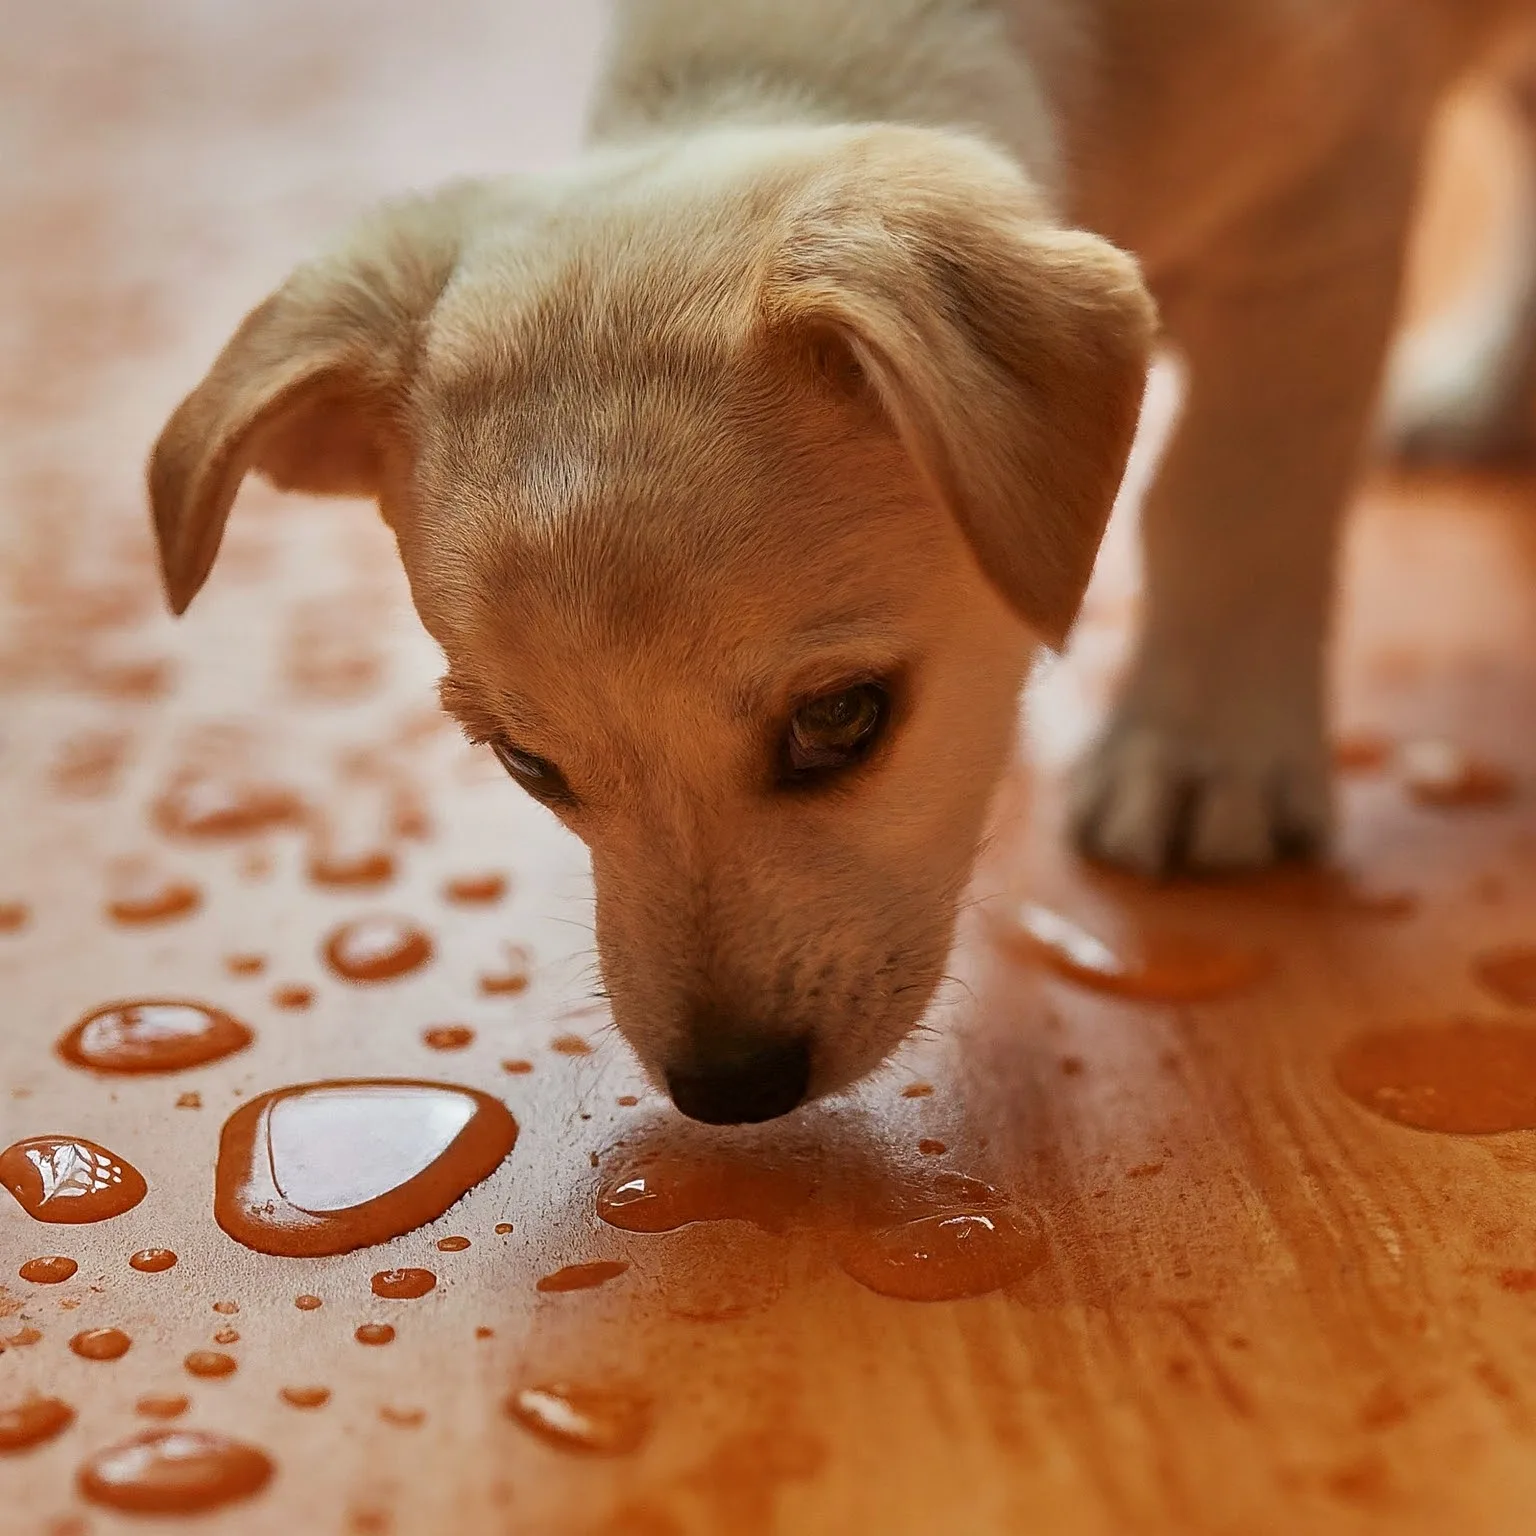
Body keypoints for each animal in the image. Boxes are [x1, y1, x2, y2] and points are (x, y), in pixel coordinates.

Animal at [149, 3, 1529, 1130]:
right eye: (529, 766)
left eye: (843, 720)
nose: (729, 1092)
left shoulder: (1318, 223)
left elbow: (1228, 496)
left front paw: (1202, 757)